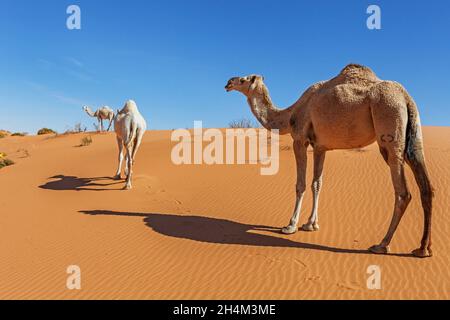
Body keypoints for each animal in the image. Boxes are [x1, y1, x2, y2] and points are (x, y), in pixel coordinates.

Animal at [227, 64, 434, 258]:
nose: (228, 82)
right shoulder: (320, 147)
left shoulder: (299, 140)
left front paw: (290, 225)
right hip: (413, 134)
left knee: (403, 192)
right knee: (426, 187)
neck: (289, 115)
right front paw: (311, 224)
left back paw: (382, 245)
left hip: (389, 123)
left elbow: (301, 184)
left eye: (244, 79)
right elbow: (317, 183)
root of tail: (406, 97)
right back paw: (423, 249)